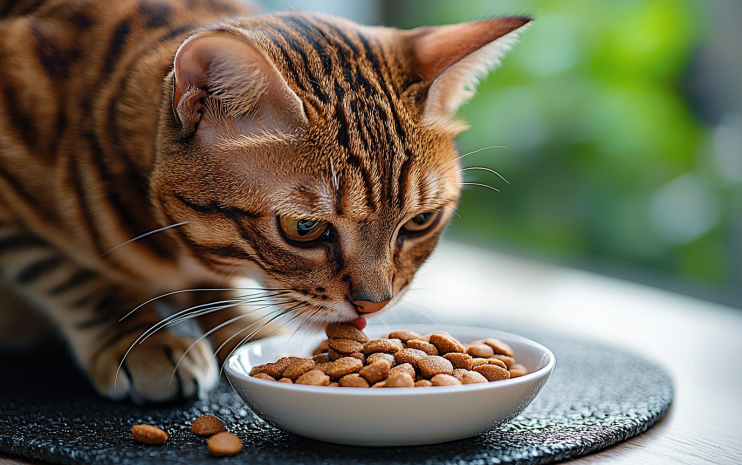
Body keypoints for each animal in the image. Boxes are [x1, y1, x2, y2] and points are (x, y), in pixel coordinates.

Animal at [0, 0, 532, 400]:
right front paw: (139, 337)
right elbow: (75, 277)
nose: (375, 303)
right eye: (305, 229)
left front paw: (243, 327)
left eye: (420, 222)